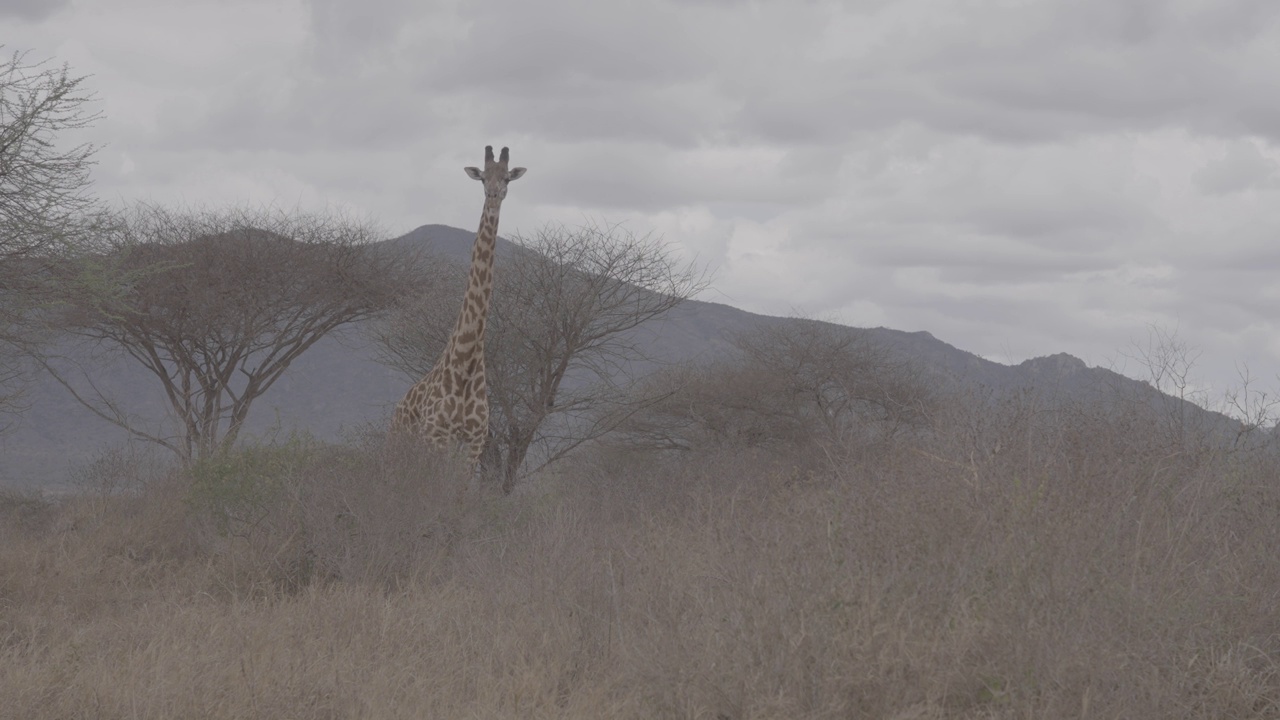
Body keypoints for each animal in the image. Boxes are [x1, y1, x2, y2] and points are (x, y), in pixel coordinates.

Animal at [389, 144, 529, 466]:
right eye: (482, 178)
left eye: (507, 178)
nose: (493, 195)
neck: (466, 359)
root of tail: (397, 409)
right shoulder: (436, 436)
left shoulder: (475, 441)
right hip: (401, 445)